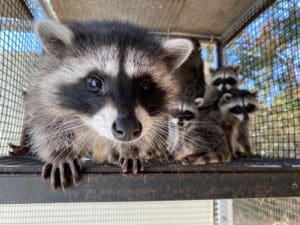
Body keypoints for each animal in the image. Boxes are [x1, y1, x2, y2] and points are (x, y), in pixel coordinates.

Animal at [19, 20, 193, 191]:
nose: (128, 129)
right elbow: (47, 120)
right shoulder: (45, 91)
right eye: (94, 83)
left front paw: (130, 149)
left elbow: (147, 132)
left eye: (145, 86)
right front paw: (60, 152)